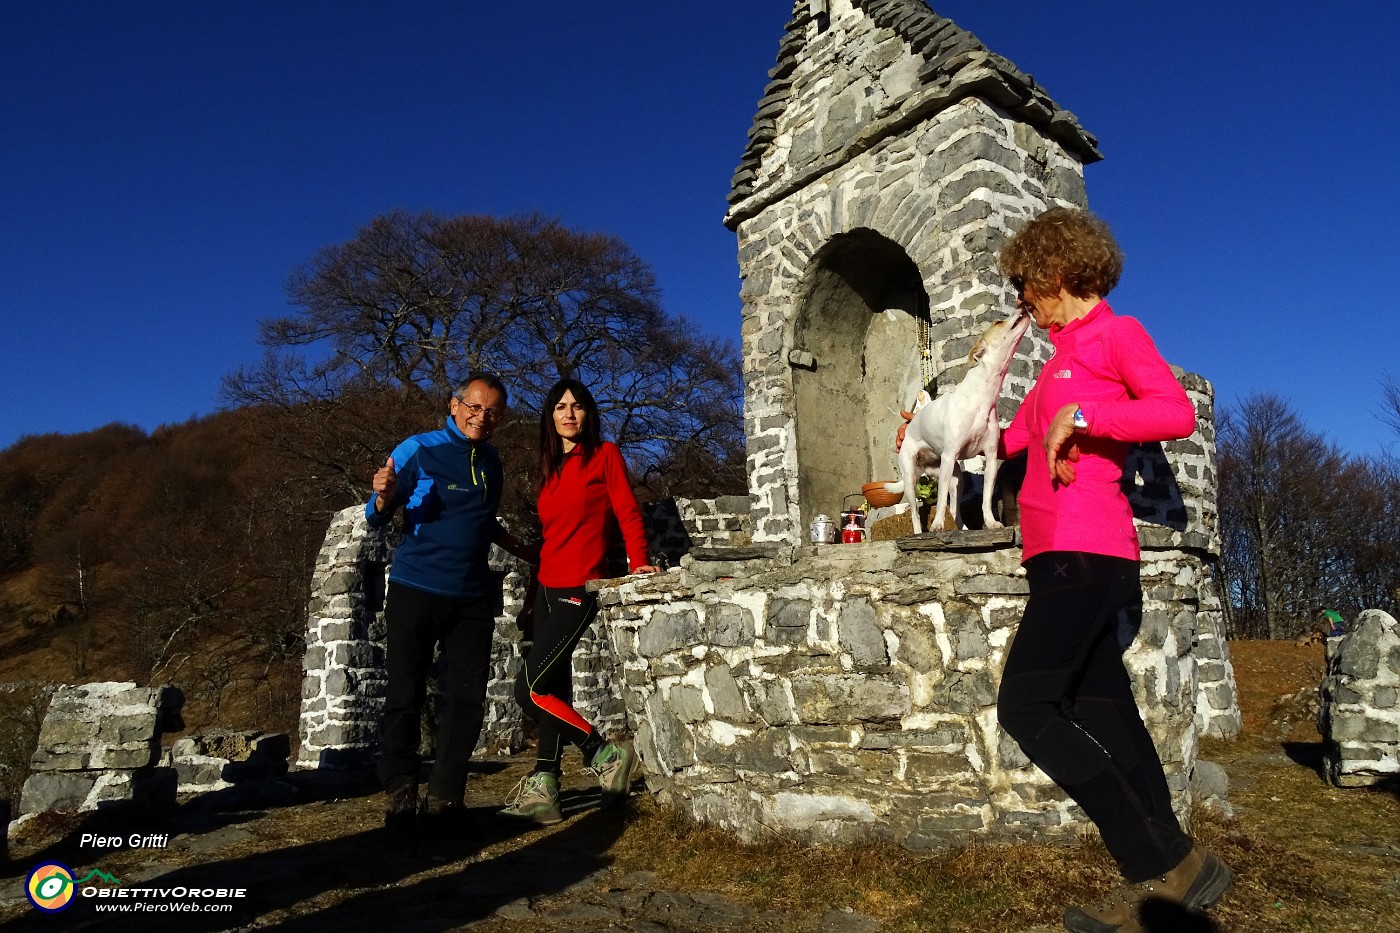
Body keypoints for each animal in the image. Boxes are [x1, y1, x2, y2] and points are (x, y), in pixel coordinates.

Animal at [884, 306, 1030, 529]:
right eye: (997, 322)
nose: (1022, 305)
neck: (981, 399)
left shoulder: (990, 457)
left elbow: (986, 498)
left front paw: (991, 522)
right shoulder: (950, 454)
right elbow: (940, 501)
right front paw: (937, 525)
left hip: (955, 477)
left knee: (954, 509)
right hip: (912, 478)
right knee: (916, 513)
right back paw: (919, 531)